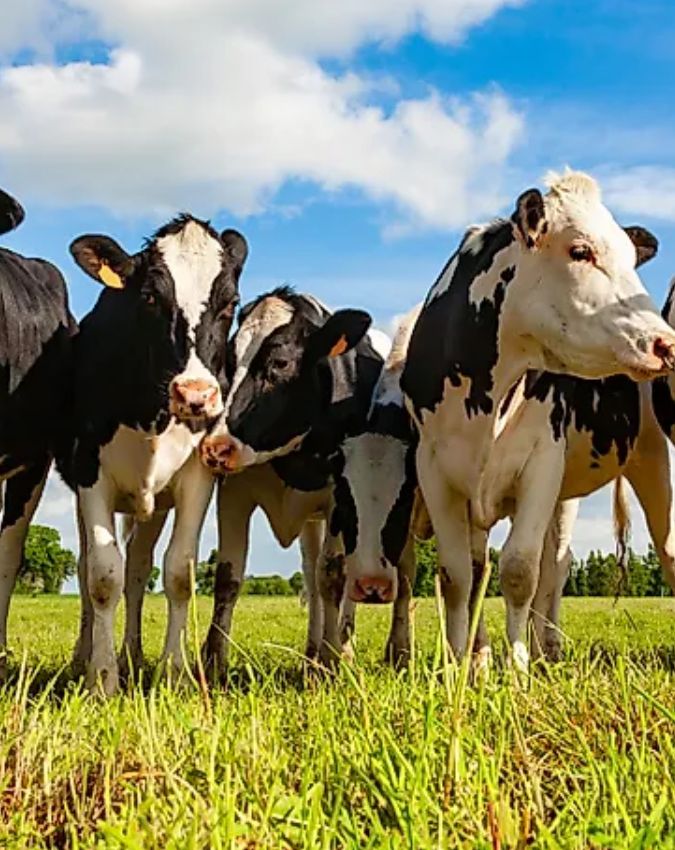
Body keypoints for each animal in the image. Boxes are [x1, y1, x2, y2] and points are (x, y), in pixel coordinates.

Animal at [58, 214, 247, 694]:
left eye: (230, 303)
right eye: (149, 297)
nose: (196, 395)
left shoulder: (198, 476)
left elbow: (178, 572)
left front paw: (174, 673)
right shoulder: (91, 475)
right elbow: (103, 575)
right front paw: (102, 678)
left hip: (154, 505)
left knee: (140, 569)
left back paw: (134, 655)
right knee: (90, 569)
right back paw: (86, 657)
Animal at [400, 170, 675, 673]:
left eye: (631, 258)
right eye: (580, 250)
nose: (664, 343)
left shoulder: (542, 462)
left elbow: (520, 571)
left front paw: (519, 668)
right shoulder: (435, 470)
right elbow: (458, 576)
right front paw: (460, 666)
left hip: (646, 458)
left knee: (643, 552)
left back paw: (544, 648)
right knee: (539, 564)